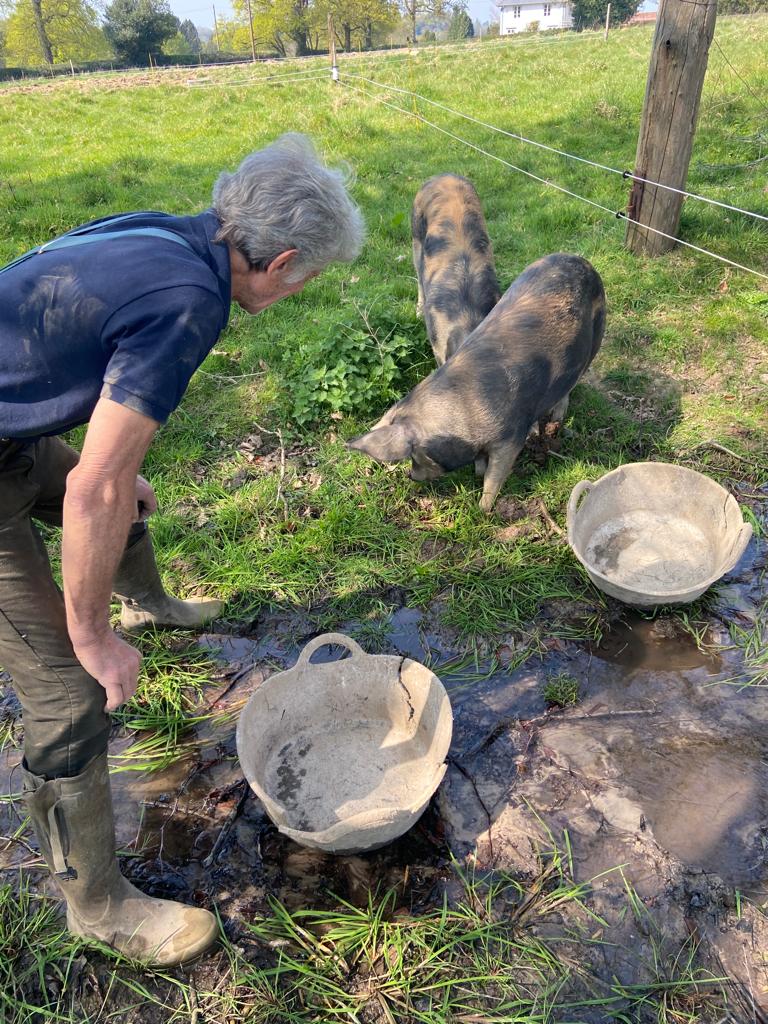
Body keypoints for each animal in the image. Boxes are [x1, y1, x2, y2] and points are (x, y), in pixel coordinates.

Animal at [349, 253, 606, 513]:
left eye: (416, 455)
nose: (411, 476)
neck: (465, 410)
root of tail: (578, 259)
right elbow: (482, 467)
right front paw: (477, 476)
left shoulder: (510, 438)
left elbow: (494, 477)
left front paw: (483, 509)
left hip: (596, 335)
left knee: (571, 384)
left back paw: (557, 420)